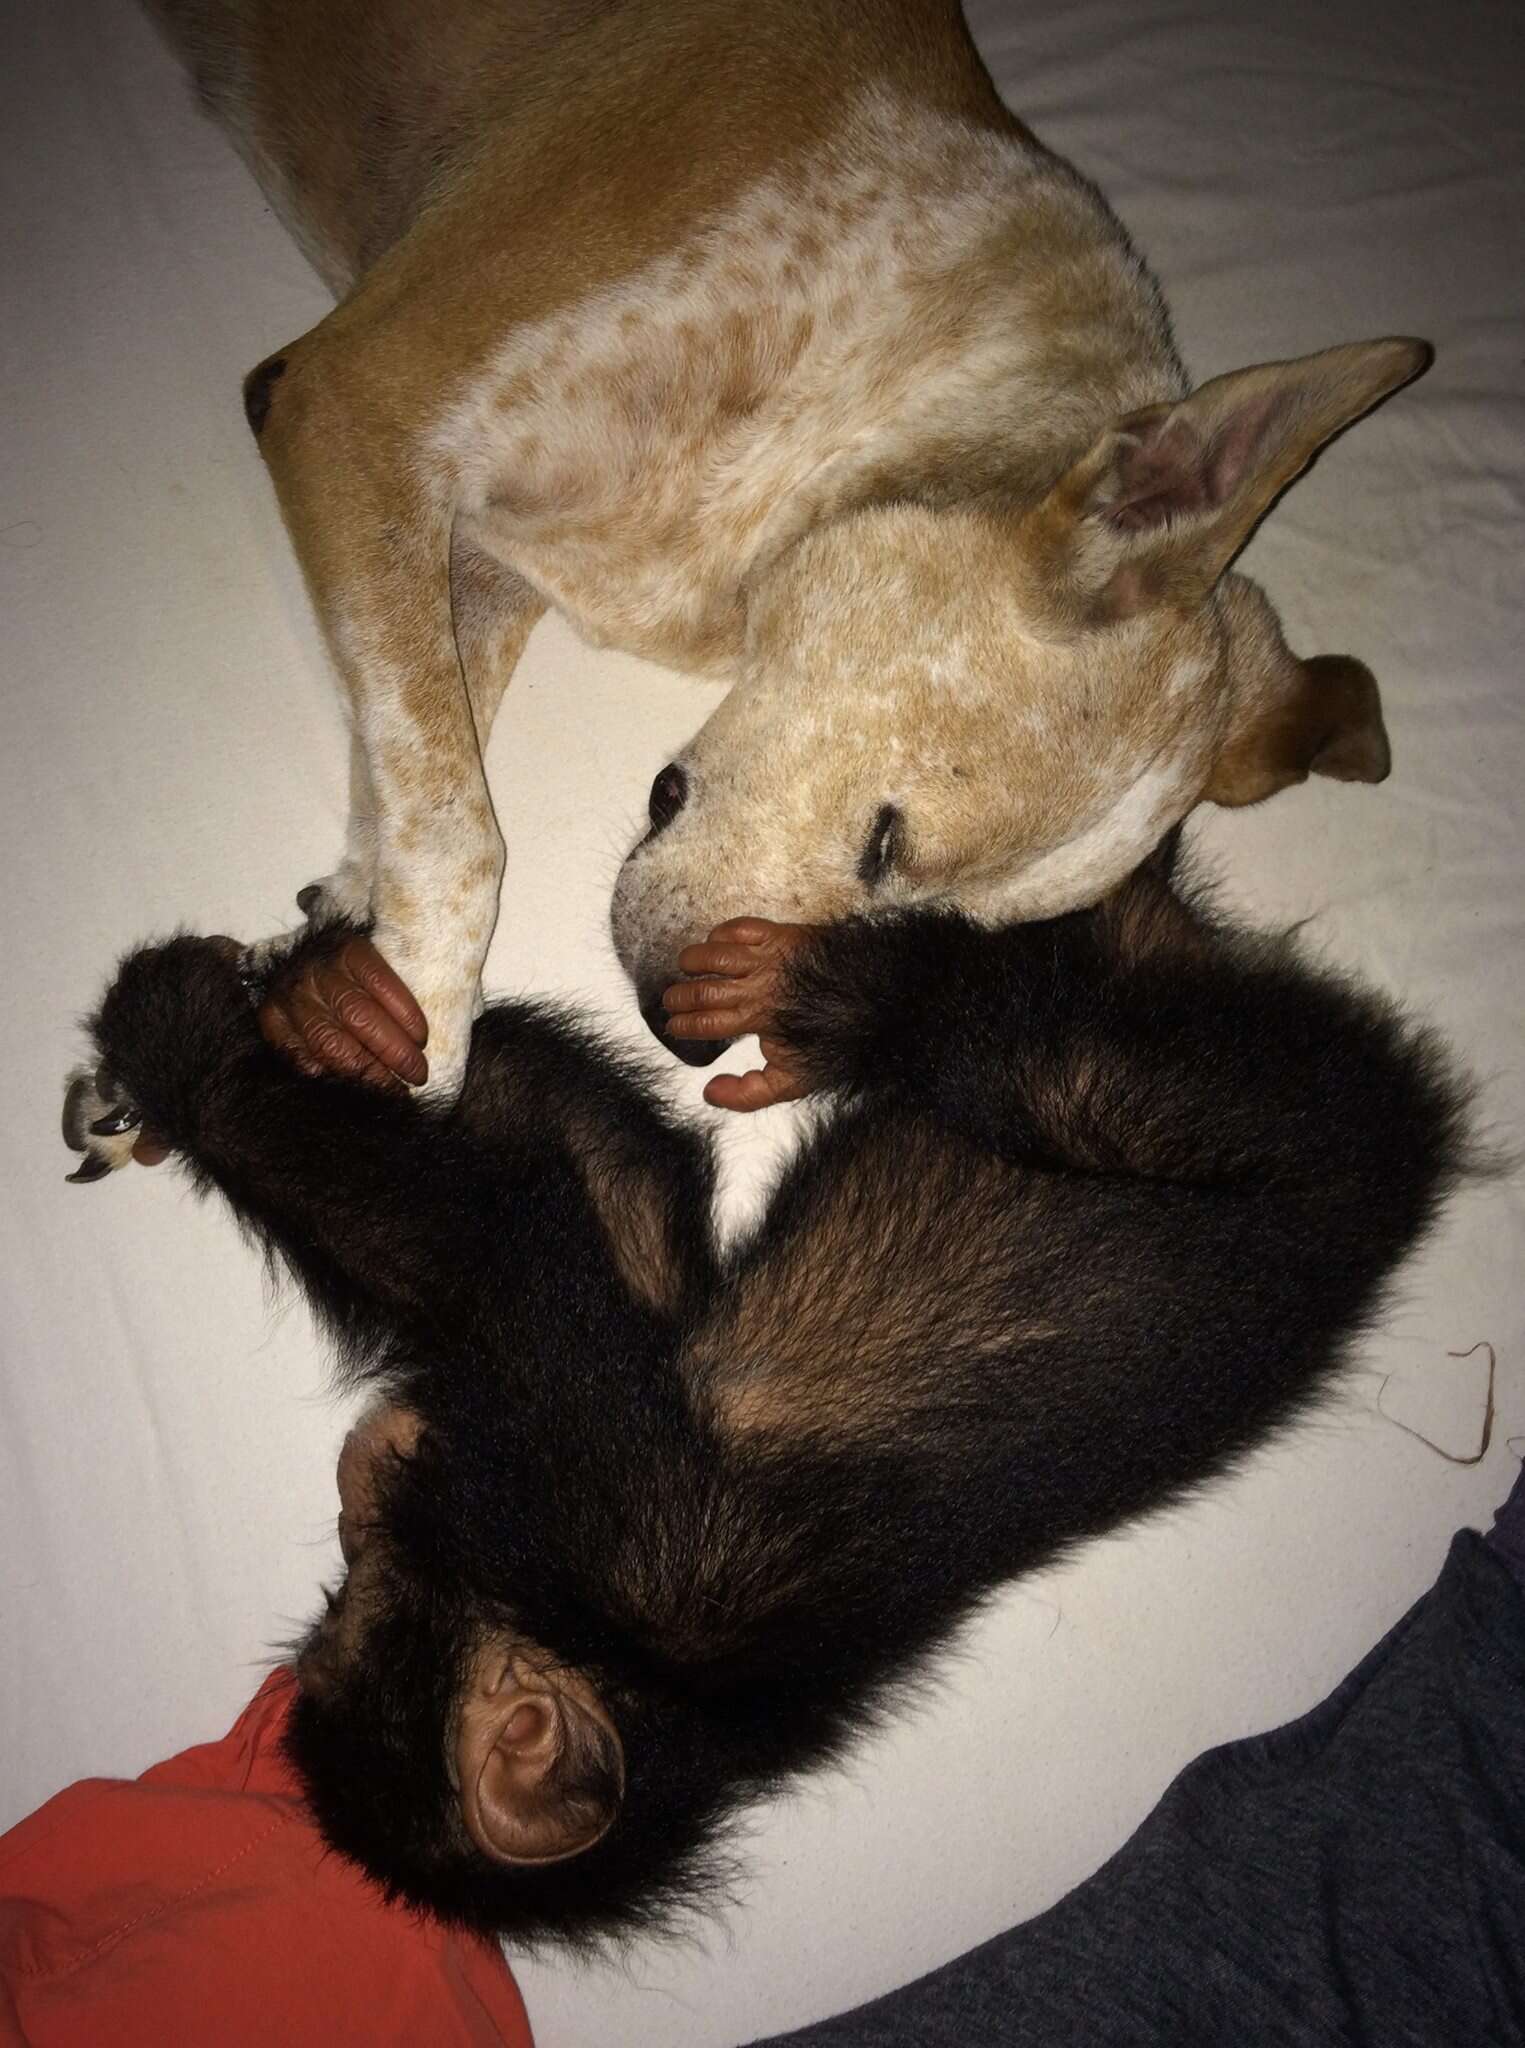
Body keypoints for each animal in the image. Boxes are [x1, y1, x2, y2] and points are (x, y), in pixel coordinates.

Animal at [59, 856, 1465, 1941]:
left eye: (354, 1605)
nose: (353, 1504)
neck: (612, 1664)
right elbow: (624, 1218)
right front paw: (320, 1006)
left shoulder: (623, 1516)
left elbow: (518, 1259)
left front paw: (239, 1036)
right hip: (1225, 1064)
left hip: (1260, 1123)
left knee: (1049, 1054)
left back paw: (839, 992)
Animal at [140, 0, 1424, 1097]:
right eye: (888, 839)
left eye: (933, 927)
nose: (684, 1042)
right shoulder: (352, 403)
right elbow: (465, 830)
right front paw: (420, 1048)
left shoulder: (480, 552)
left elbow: (415, 754)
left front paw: (344, 942)